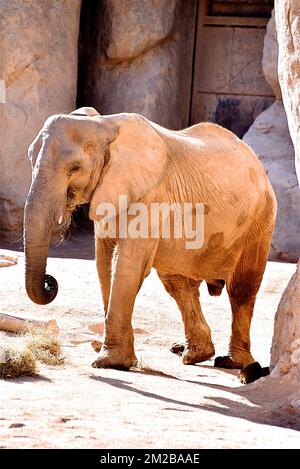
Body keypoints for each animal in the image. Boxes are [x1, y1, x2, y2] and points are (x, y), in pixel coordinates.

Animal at [24, 106, 276, 370]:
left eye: (74, 168)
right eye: (30, 159)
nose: (50, 282)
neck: (104, 125)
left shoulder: (151, 196)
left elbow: (127, 264)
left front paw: (108, 362)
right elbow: (104, 263)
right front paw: (122, 358)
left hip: (260, 220)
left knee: (241, 289)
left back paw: (232, 362)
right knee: (177, 284)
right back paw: (195, 355)